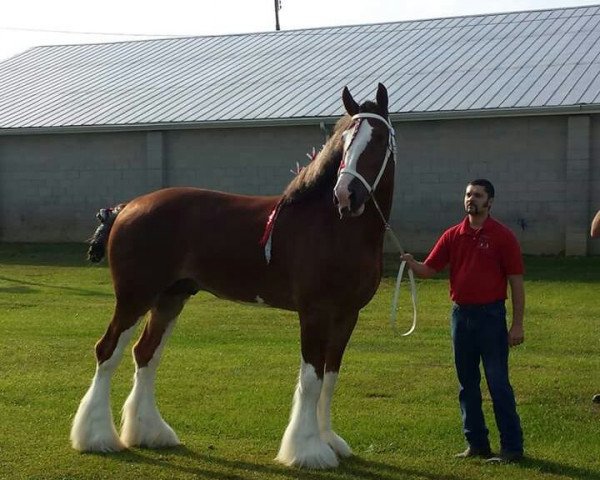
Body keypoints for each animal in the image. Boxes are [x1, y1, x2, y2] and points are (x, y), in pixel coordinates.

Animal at [70, 82, 396, 468]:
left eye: (378, 139)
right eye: (345, 141)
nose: (346, 195)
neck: (336, 227)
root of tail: (127, 208)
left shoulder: (347, 315)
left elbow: (330, 377)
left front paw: (329, 440)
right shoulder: (314, 312)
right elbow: (312, 377)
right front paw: (308, 450)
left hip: (169, 298)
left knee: (146, 355)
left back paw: (150, 433)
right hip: (135, 296)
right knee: (108, 351)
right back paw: (97, 438)